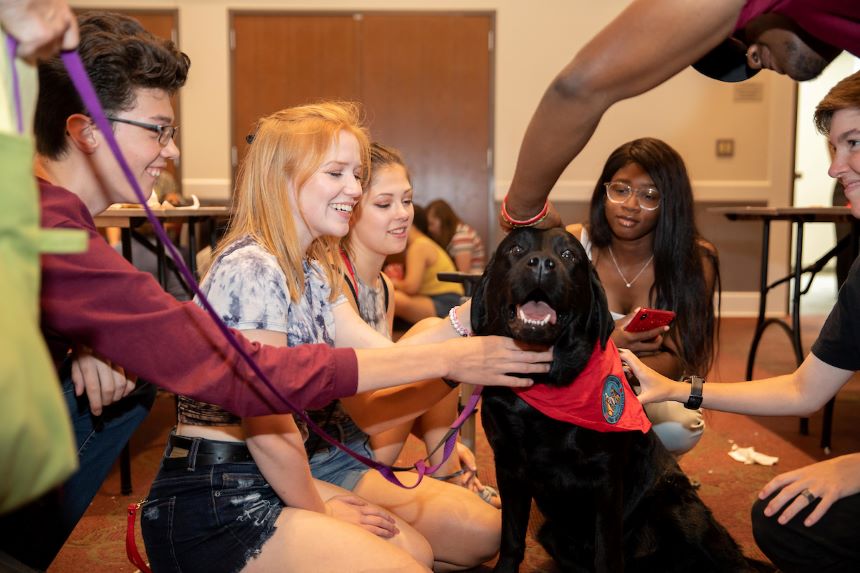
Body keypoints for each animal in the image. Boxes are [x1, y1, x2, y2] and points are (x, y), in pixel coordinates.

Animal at [474, 228, 768, 572]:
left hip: (680, 509)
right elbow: (511, 538)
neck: (544, 381)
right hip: (552, 534)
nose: (542, 264)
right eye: (516, 249)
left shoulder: (606, 479)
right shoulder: (509, 467)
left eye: (568, 255)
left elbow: (607, 553)